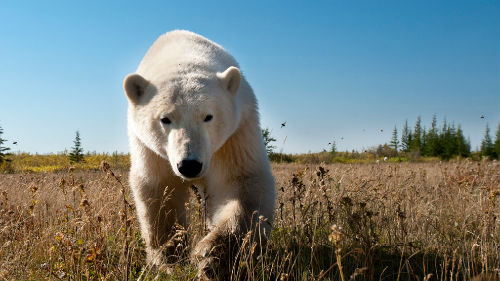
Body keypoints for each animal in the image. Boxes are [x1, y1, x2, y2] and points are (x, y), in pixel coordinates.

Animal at [122, 30, 276, 278]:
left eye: (208, 116)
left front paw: (211, 257)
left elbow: (239, 184)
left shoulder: (234, 135)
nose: (190, 165)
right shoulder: (151, 150)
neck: (182, 54)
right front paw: (169, 258)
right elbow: (162, 190)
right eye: (165, 119)